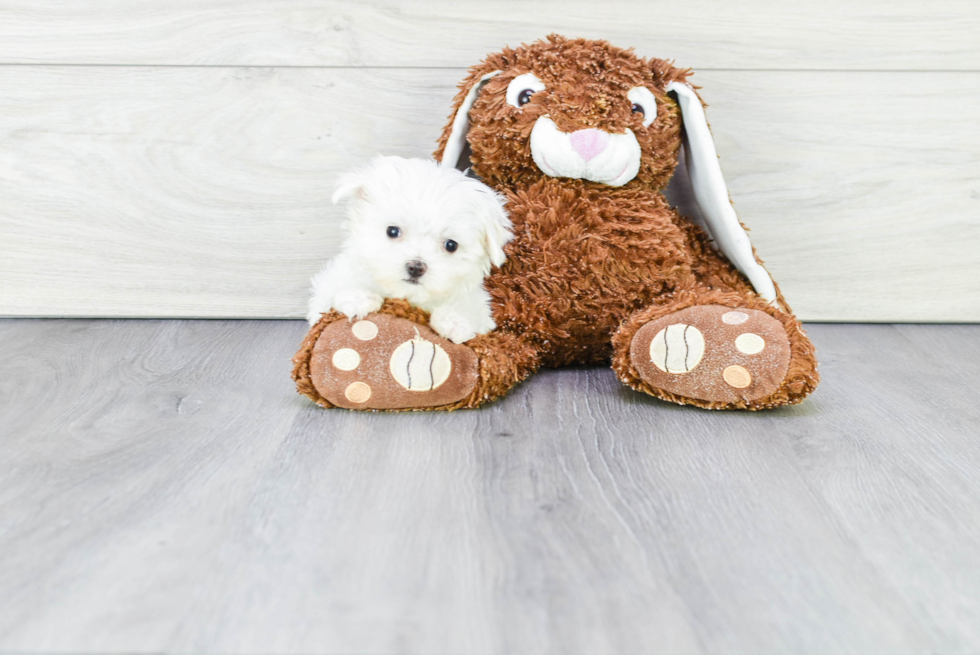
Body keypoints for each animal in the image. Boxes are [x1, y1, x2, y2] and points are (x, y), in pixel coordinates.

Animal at [306, 157, 512, 346]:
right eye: (392, 231)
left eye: (451, 245)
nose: (416, 267)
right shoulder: (330, 285)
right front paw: (358, 298)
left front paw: (455, 322)